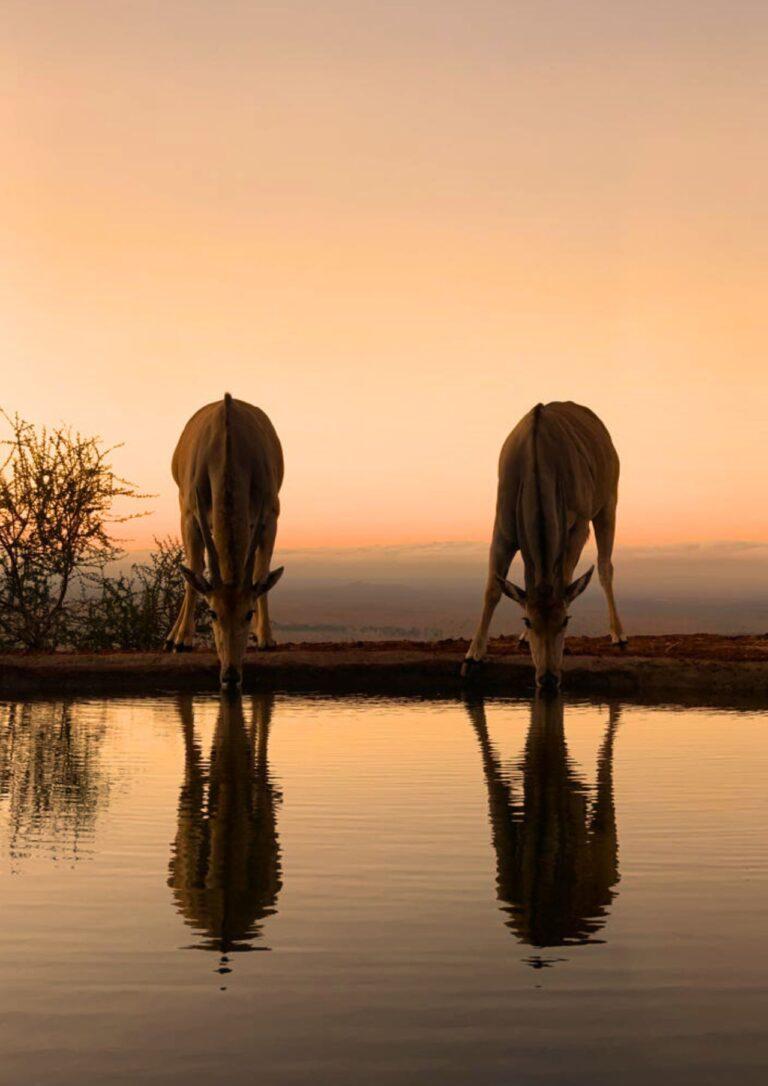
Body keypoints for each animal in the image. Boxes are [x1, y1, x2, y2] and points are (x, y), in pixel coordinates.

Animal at [168, 395, 284, 690]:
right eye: (212, 613)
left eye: (248, 612)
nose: (230, 676)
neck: (229, 450)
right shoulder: (190, 516)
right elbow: (195, 572)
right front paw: (182, 640)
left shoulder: (270, 516)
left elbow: (261, 573)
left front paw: (266, 638)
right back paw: (173, 636)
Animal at [462, 399, 625, 686]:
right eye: (527, 621)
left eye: (566, 620)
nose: (548, 678)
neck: (536, 463)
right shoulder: (503, 531)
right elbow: (493, 589)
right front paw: (473, 656)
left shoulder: (578, 526)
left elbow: (567, 578)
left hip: (608, 504)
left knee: (605, 566)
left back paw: (618, 634)